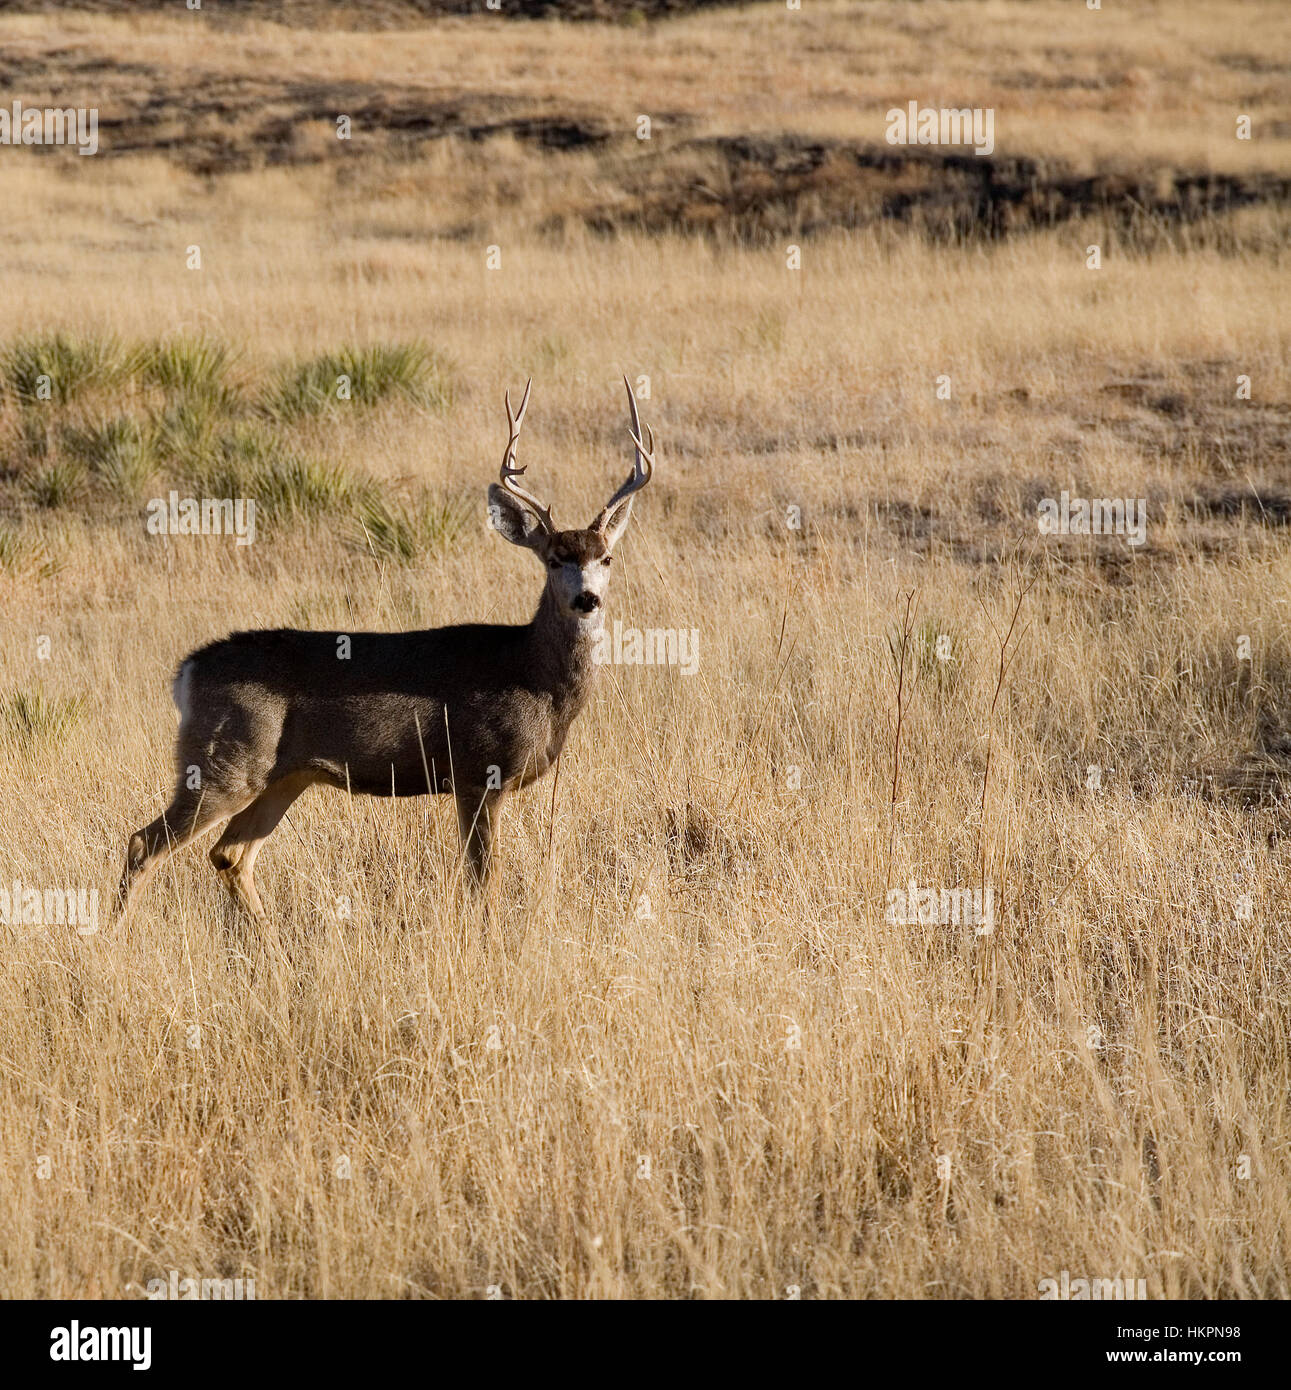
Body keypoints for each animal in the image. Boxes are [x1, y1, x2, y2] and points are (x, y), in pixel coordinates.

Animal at [115, 376, 654, 921]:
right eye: (554, 559)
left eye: (606, 558)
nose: (586, 598)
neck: (534, 678)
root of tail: (187, 671)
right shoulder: (478, 770)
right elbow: (483, 883)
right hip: (225, 761)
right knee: (145, 843)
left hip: (284, 776)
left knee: (229, 853)